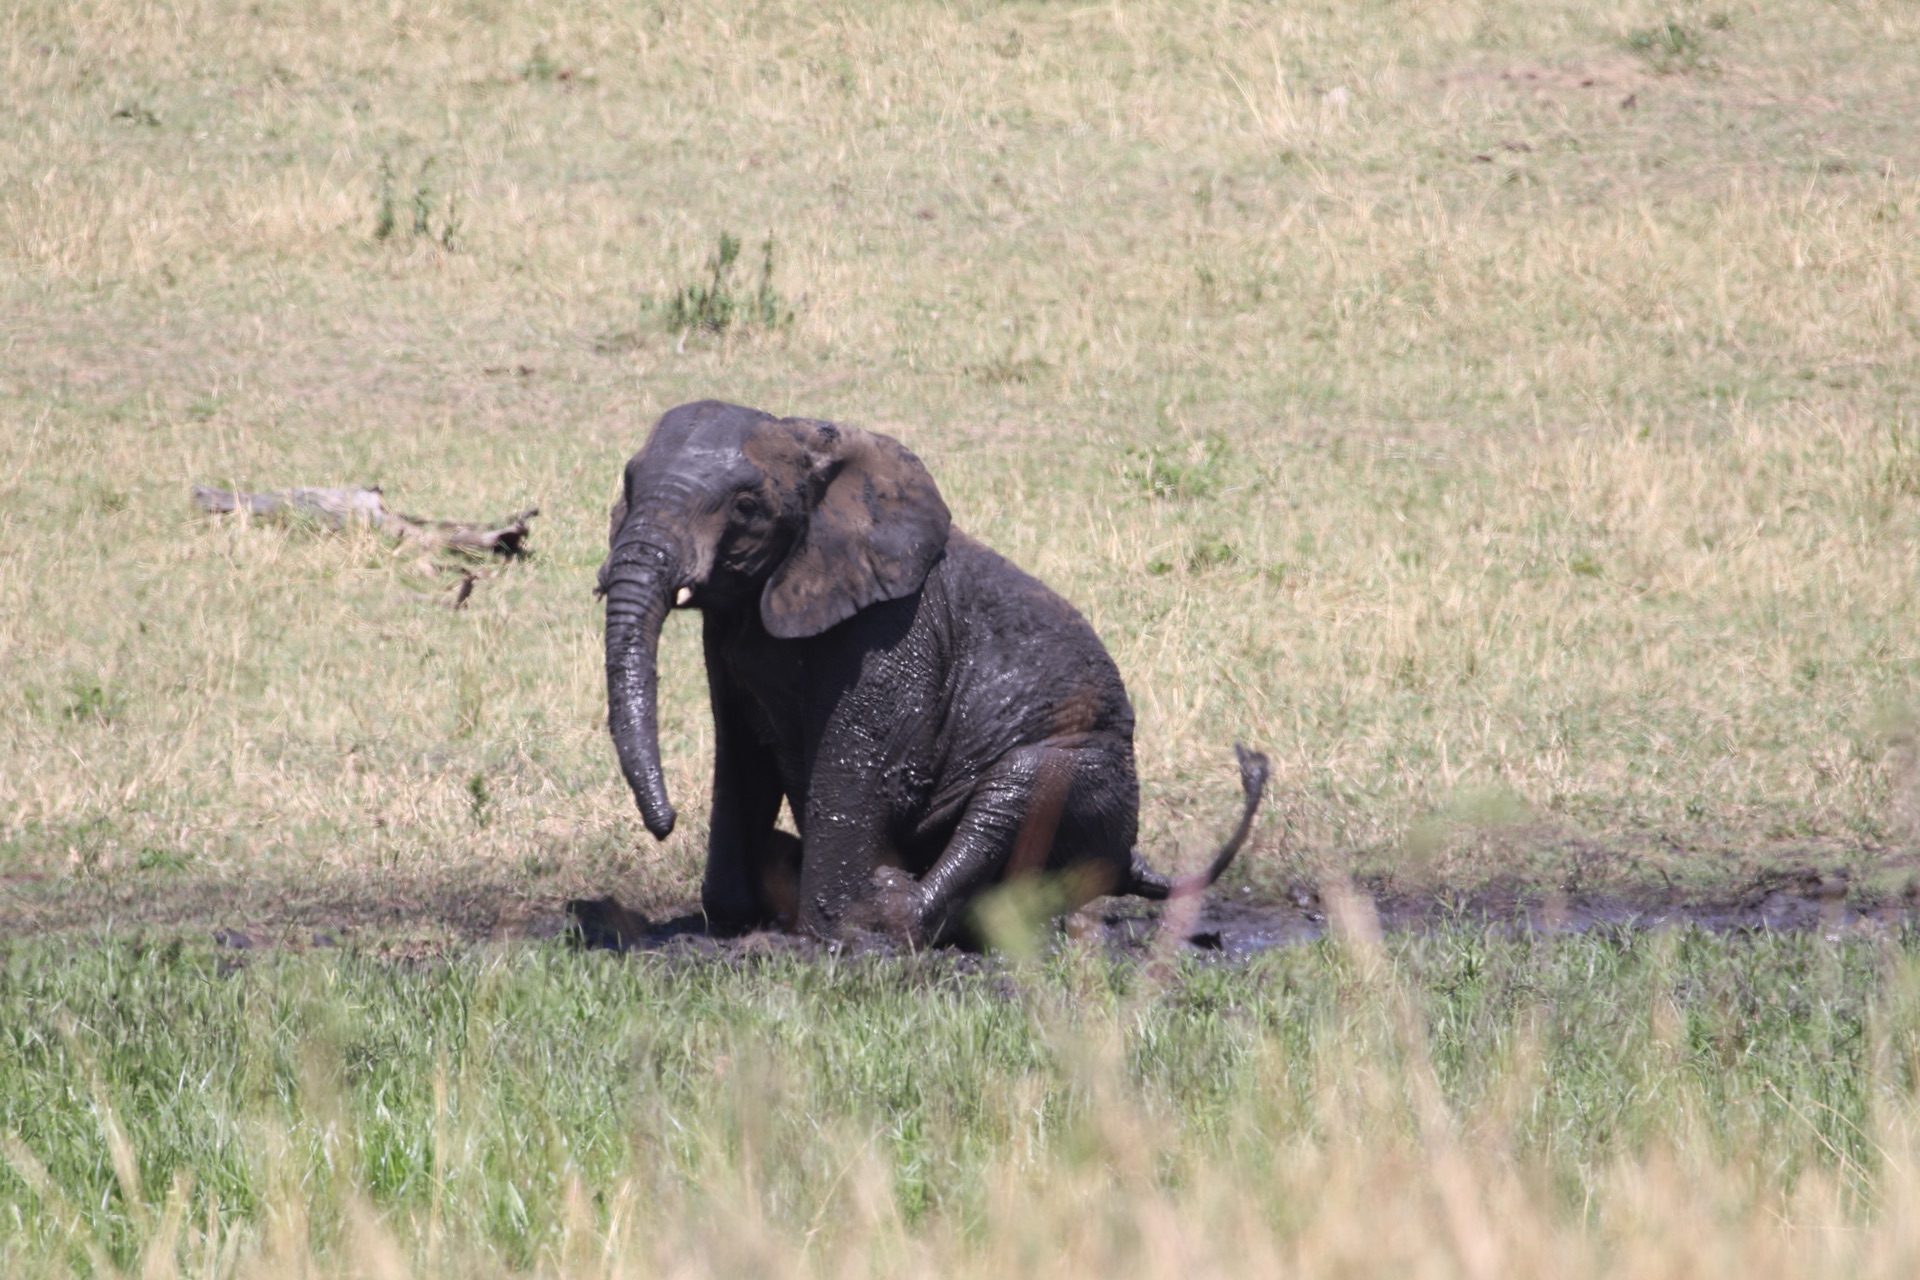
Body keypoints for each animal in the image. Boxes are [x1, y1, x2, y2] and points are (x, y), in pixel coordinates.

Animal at [591, 402, 1267, 951]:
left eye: (746, 507)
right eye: (627, 481)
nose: (664, 823)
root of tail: (1133, 859)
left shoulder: (892, 630)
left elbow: (858, 767)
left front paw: (832, 932)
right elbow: (741, 758)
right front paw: (735, 919)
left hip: (1094, 773)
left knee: (1013, 793)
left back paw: (897, 908)